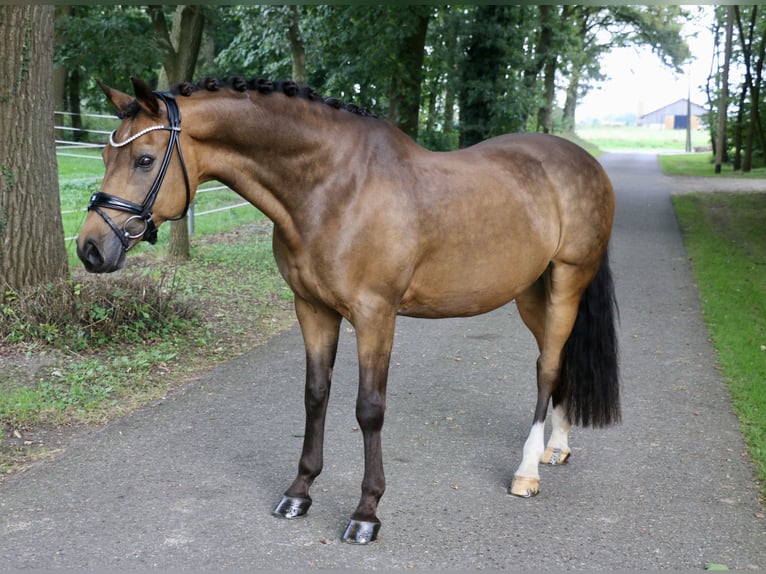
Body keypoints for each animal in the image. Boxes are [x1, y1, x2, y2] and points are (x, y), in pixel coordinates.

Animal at [75, 77, 620, 548]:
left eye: (145, 159)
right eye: (104, 154)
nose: (90, 249)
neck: (333, 188)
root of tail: (582, 161)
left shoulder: (375, 315)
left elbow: (368, 410)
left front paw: (366, 513)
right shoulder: (313, 309)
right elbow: (315, 395)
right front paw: (299, 492)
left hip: (567, 282)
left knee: (547, 368)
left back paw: (527, 470)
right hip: (530, 293)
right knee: (558, 362)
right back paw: (556, 446)